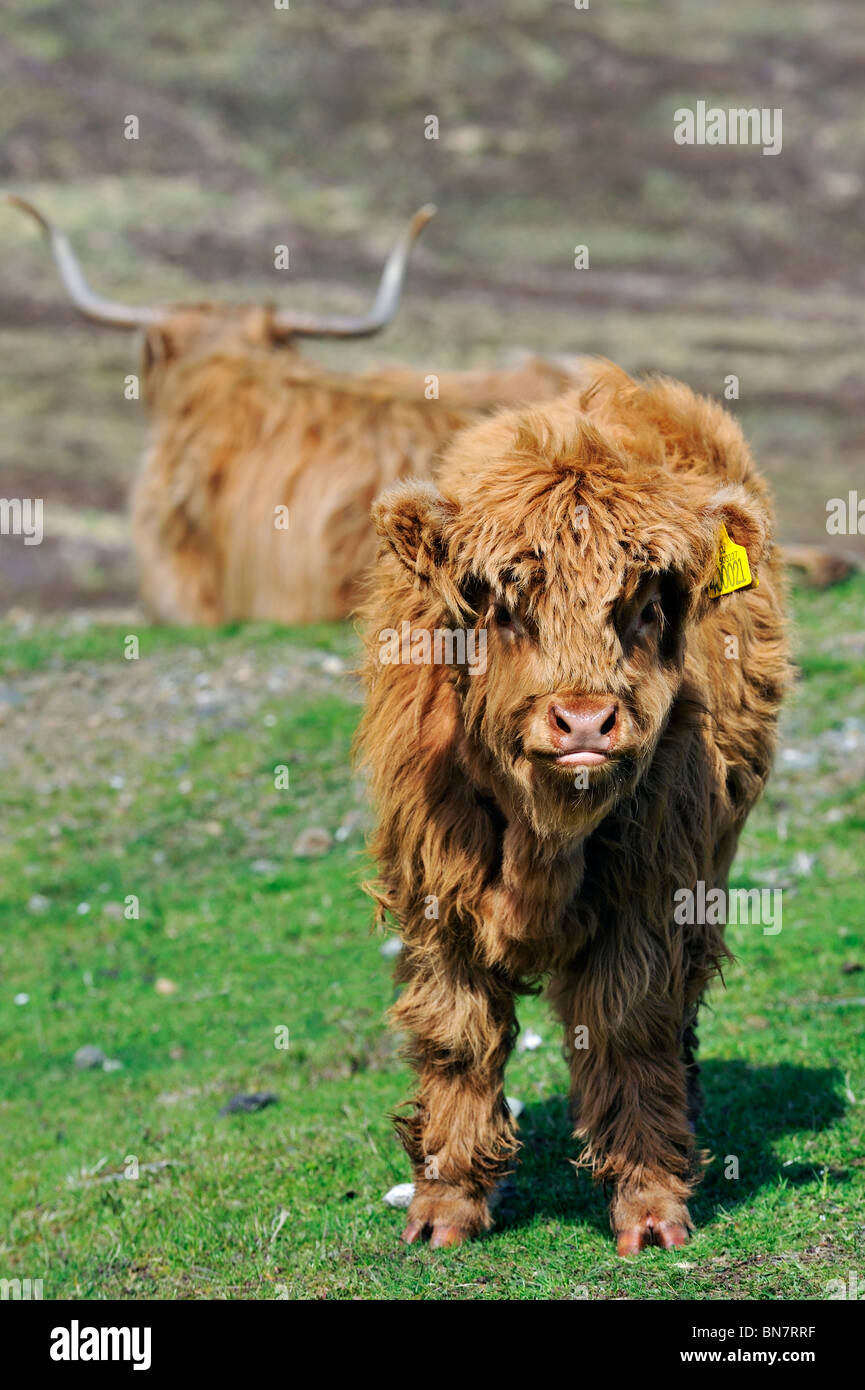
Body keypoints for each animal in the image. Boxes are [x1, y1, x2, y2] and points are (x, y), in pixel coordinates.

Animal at [358, 364, 795, 1256]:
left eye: (645, 606)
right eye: (502, 606)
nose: (586, 720)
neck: (542, 837)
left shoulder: (651, 890)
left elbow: (628, 1026)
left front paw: (650, 1205)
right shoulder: (433, 889)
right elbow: (455, 1036)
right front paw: (445, 1204)